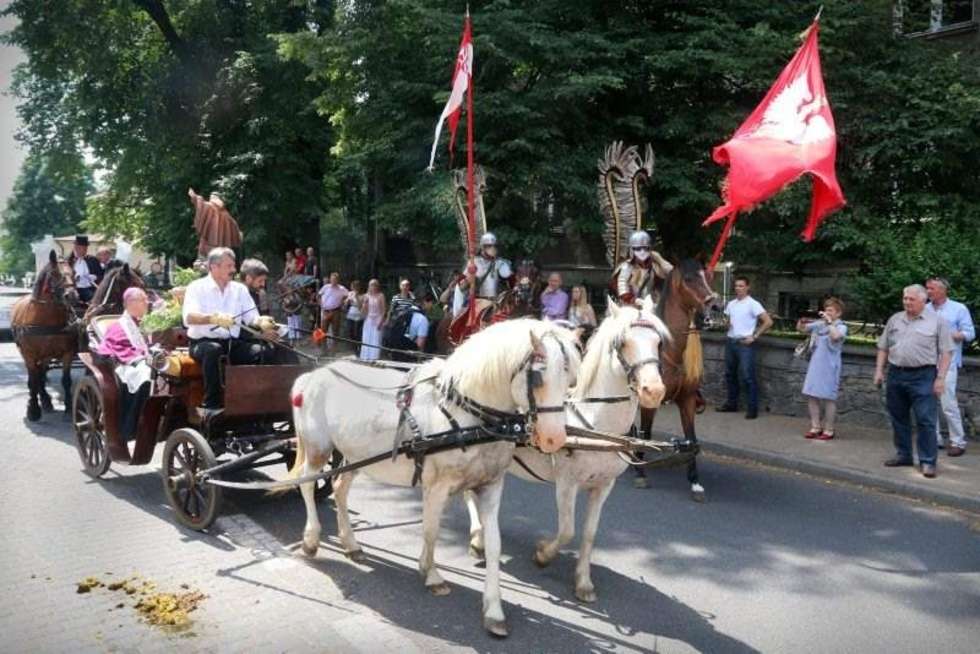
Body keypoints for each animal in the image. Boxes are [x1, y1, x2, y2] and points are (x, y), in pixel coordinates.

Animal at [11, 249, 80, 422]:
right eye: (54, 273)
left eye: (74, 273)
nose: (72, 296)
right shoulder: (29, 354)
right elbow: (32, 381)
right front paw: (33, 410)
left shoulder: (68, 353)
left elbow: (66, 380)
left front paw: (68, 408)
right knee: (36, 376)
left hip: (47, 356)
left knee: (41, 373)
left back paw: (46, 400)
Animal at [290, 320, 580, 640]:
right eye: (538, 377)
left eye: (571, 380)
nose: (554, 439)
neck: (466, 416)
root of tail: (313, 374)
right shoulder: (437, 487)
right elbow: (430, 530)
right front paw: (431, 574)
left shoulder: (491, 486)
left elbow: (494, 545)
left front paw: (493, 609)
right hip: (319, 449)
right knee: (307, 483)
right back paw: (311, 539)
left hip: (355, 455)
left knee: (340, 489)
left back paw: (351, 544)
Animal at [466, 298, 668, 604]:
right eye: (623, 343)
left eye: (658, 342)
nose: (653, 391)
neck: (597, 425)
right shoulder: (566, 483)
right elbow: (567, 531)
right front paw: (543, 554)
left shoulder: (604, 485)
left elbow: (589, 533)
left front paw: (583, 581)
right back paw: (478, 536)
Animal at [632, 260, 716, 502]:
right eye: (688, 279)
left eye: (706, 275)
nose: (714, 303)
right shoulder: (648, 402)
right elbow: (645, 433)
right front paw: (640, 473)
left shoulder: (687, 400)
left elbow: (692, 439)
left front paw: (695, 483)